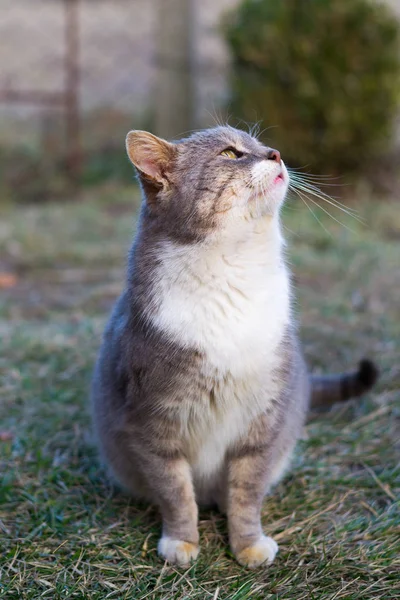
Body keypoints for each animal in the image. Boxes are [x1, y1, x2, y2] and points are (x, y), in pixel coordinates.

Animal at [91, 125, 378, 568]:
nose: (276, 154)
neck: (233, 275)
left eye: (259, 145)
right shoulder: (151, 425)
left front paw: (248, 545)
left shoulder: (264, 421)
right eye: (230, 153)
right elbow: (176, 494)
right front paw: (182, 542)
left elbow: (246, 493)